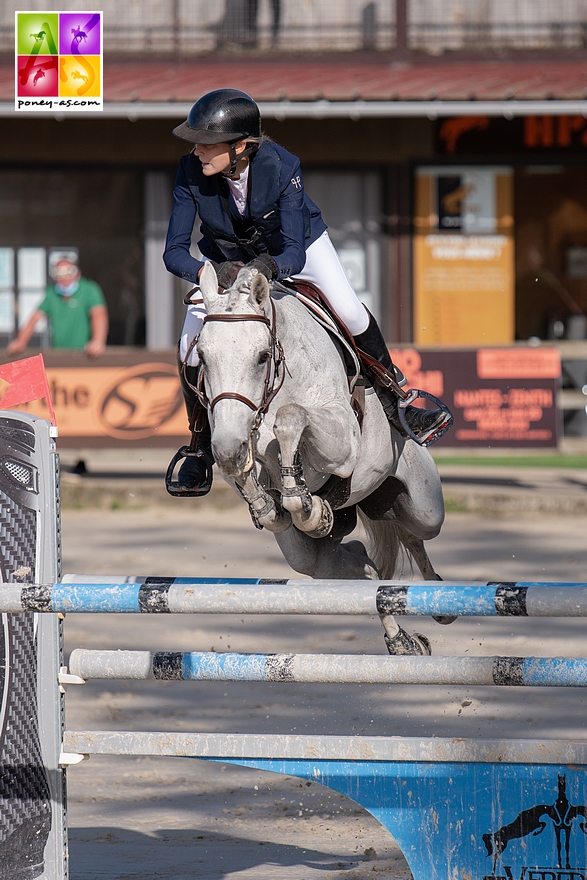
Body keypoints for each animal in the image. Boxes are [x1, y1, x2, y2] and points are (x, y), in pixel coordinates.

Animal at [195, 262, 448, 652]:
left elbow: (291, 418)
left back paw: (435, 597)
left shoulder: (343, 440)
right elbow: (254, 481)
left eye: (262, 356)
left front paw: (302, 501)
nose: (229, 450)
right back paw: (402, 638)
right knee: (362, 565)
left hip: (425, 507)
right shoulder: (229, 436)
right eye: (203, 358)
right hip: (314, 554)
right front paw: (274, 505)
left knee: (413, 534)